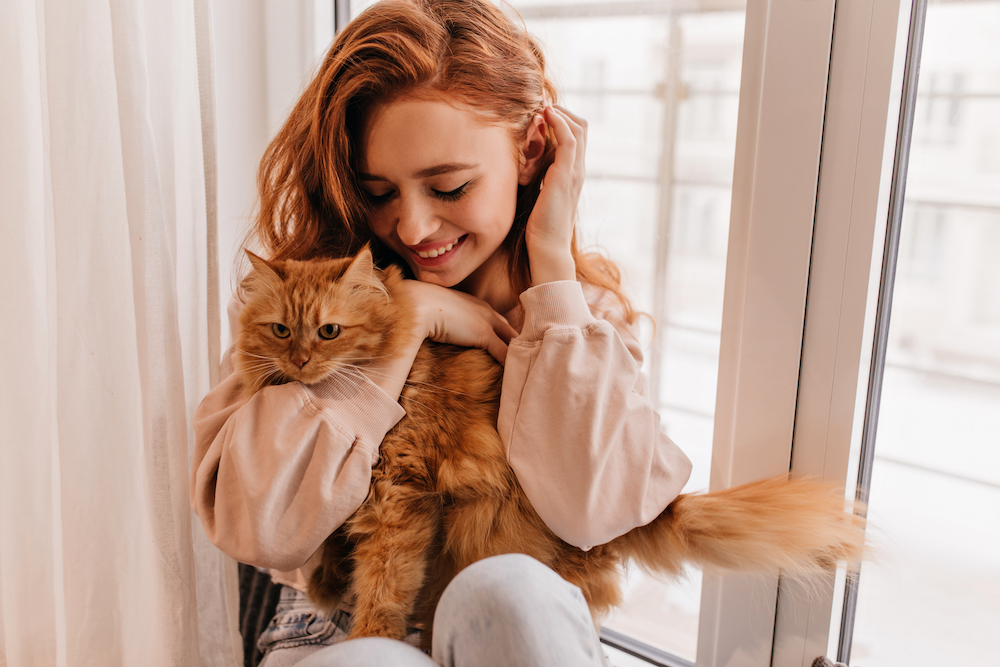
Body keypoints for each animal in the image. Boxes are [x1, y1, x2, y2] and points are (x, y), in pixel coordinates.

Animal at [236, 247, 868, 648]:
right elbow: (328, 536)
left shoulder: (400, 496)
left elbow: (384, 587)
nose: (300, 362)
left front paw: (369, 636)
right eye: (281, 330)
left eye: (329, 332)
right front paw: (324, 581)